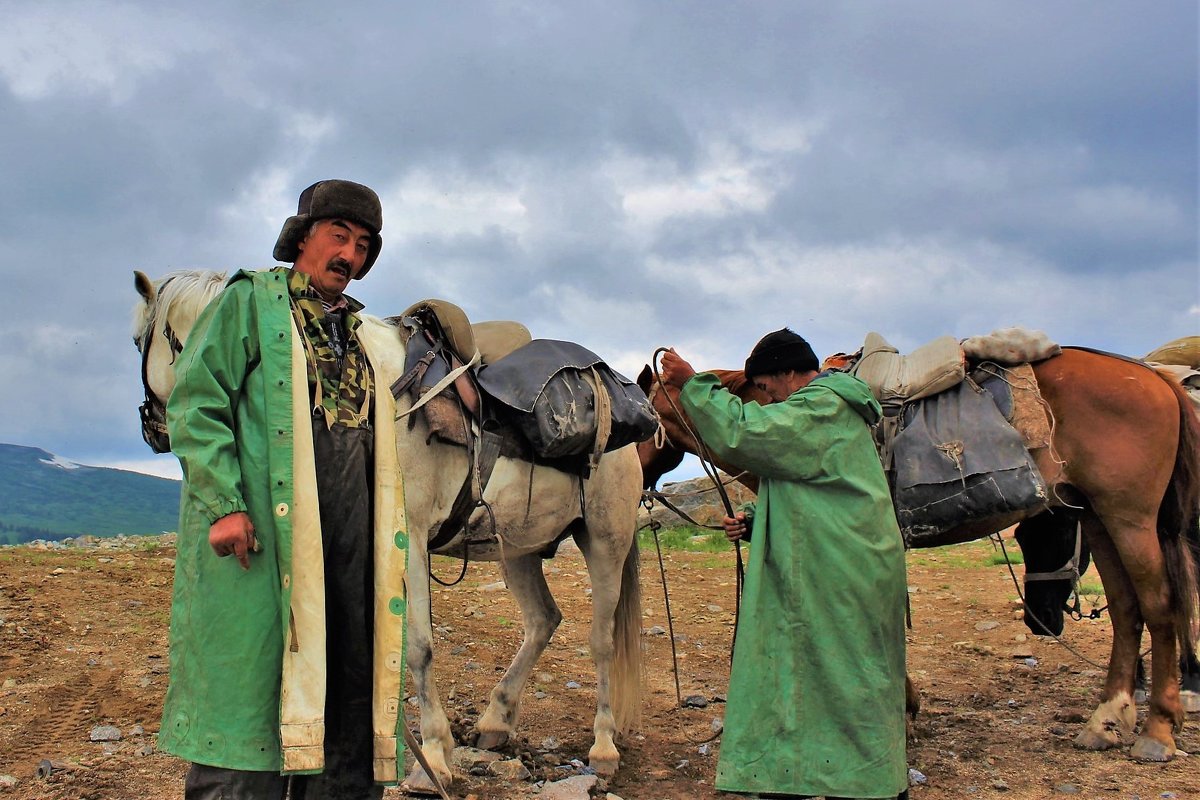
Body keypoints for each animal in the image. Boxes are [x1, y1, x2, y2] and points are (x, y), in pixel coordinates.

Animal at [131, 268, 648, 786]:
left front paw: (435, 754)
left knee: (600, 640)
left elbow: (418, 648)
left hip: (605, 542)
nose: (153, 429)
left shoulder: (412, 541)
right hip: (518, 549)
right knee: (543, 620)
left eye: (139, 340)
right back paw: (495, 721)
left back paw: (603, 746)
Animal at [638, 350, 1200, 762]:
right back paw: (1106, 720)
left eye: (646, 414)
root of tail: (1155, 379)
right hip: (1098, 518)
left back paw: (1158, 730)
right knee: (1127, 609)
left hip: (1130, 518)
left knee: (1159, 606)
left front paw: (898, 710)